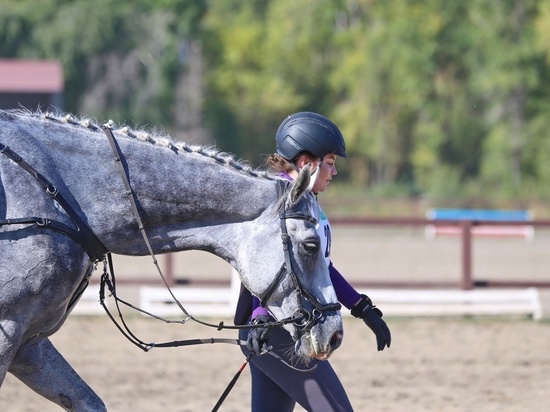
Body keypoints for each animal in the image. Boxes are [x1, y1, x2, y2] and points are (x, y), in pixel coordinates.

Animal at [0, 110, 344, 412]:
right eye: (311, 245)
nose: (335, 334)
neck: (58, 197)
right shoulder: (8, 330)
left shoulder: (29, 344)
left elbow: (88, 401)